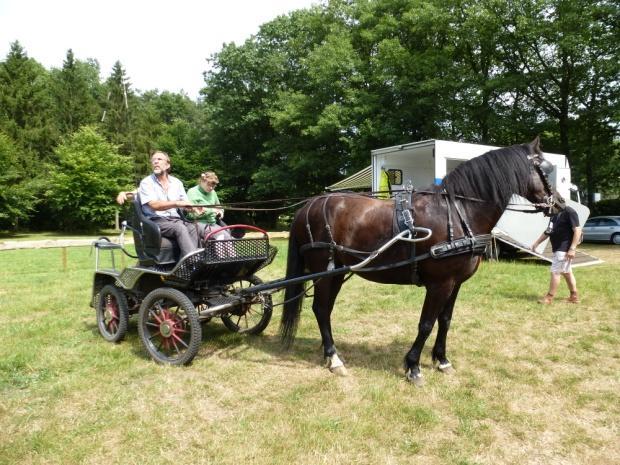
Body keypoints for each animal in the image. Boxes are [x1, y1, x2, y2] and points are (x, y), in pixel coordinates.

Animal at [280, 136, 552, 382]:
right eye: (547, 169)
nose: (556, 204)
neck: (459, 213)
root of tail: (308, 206)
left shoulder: (455, 283)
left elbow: (445, 320)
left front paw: (442, 360)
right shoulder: (439, 284)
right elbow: (427, 324)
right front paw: (413, 366)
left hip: (337, 271)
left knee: (324, 309)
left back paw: (331, 354)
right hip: (324, 271)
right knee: (321, 309)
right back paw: (334, 358)